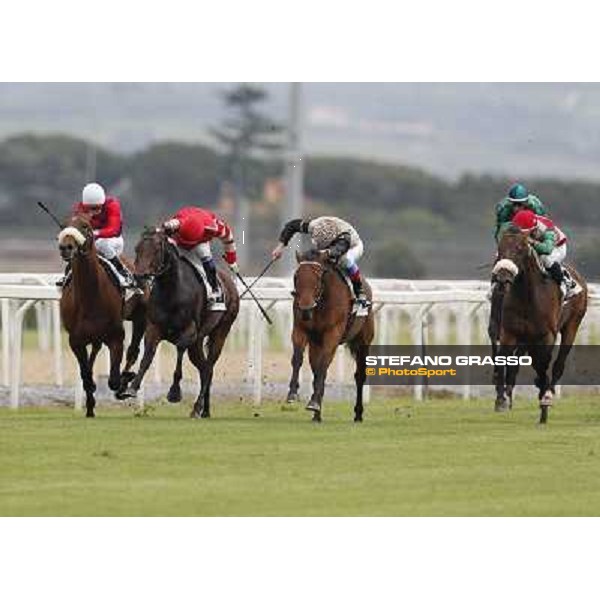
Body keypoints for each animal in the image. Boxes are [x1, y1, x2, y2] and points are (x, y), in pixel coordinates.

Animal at [58, 214, 146, 418]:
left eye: (85, 226)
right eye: (64, 225)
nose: (66, 247)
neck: (91, 296)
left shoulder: (116, 337)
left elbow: (113, 380)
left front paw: (124, 381)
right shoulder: (75, 340)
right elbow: (86, 375)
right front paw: (90, 406)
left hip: (140, 317)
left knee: (133, 351)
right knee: (92, 359)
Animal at [120, 227, 240, 420]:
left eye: (156, 250)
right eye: (137, 249)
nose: (139, 276)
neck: (172, 291)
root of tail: (230, 283)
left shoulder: (189, 331)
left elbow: (179, 351)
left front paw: (174, 392)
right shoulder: (154, 328)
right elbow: (147, 356)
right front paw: (131, 388)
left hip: (221, 332)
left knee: (209, 368)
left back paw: (197, 407)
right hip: (197, 343)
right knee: (205, 369)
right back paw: (204, 409)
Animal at [286, 248, 376, 422]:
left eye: (318, 277)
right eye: (296, 276)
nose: (305, 307)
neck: (320, 303)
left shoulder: (332, 335)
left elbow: (323, 366)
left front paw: (314, 403)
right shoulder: (300, 330)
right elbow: (298, 359)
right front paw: (293, 394)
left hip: (363, 341)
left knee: (359, 376)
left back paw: (358, 413)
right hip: (316, 344)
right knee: (317, 371)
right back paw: (317, 415)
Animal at [490, 227, 588, 424]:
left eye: (520, 248)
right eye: (500, 247)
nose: (502, 278)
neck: (527, 297)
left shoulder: (546, 335)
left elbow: (543, 365)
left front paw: (544, 404)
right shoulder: (509, 333)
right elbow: (505, 360)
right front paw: (502, 400)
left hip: (572, 325)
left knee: (558, 363)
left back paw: (548, 393)